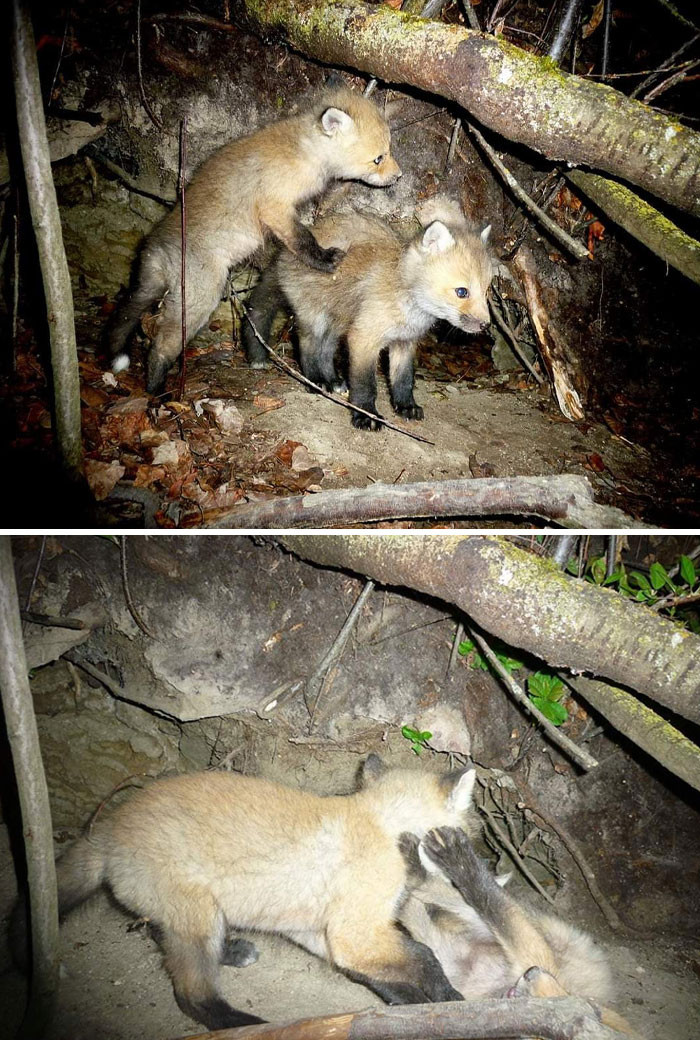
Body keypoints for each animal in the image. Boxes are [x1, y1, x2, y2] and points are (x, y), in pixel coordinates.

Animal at [11, 757, 475, 1031]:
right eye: (460, 836)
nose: (470, 857)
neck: (383, 828)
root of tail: (105, 831)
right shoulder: (354, 932)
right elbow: (424, 957)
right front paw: (448, 1000)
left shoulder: (321, 933)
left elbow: (374, 976)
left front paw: (409, 1005)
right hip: (198, 921)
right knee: (192, 998)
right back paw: (245, 1023)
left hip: (191, 919)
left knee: (159, 937)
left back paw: (231, 952)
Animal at [107, 84, 401, 395]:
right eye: (378, 158)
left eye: (389, 150)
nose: (399, 176)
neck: (303, 152)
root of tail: (158, 245)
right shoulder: (275, 207)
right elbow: (302, 239)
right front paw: (323, 259)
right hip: (199, 300)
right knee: (161, 346)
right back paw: (159, 391)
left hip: (149, 287)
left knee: (126, 314)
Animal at [243, 195, 493, 429]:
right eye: (462, 292)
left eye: (487, 290)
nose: (486, 325)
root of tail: (282, 254)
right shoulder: (363, 338)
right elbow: (365, 384)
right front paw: (365, 415)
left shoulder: (404, 343)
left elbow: (404, 380)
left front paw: (406, 407)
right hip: (315, 319)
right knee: (307, 347)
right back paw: (316, 381)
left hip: (337, 323)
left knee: (326, 351)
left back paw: (333, 380)